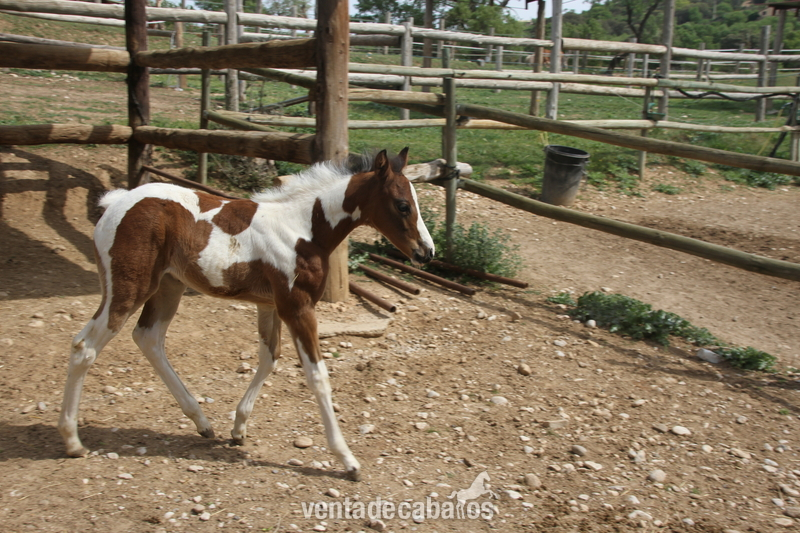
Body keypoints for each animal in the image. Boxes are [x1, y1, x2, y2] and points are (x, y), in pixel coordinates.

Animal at [57, 148, 434, 482]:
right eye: (403, 205)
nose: (427, 252)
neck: (303, 229)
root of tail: (115, 202)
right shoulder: (297, 307)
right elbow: (317, 377)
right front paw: (347, 460)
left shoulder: (270, 306)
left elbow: (269, 357)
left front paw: (238, 429)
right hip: (128, 288)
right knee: (85, 347)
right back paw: (72, 440)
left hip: (168, 287)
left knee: (148, 337)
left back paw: (201, 422)